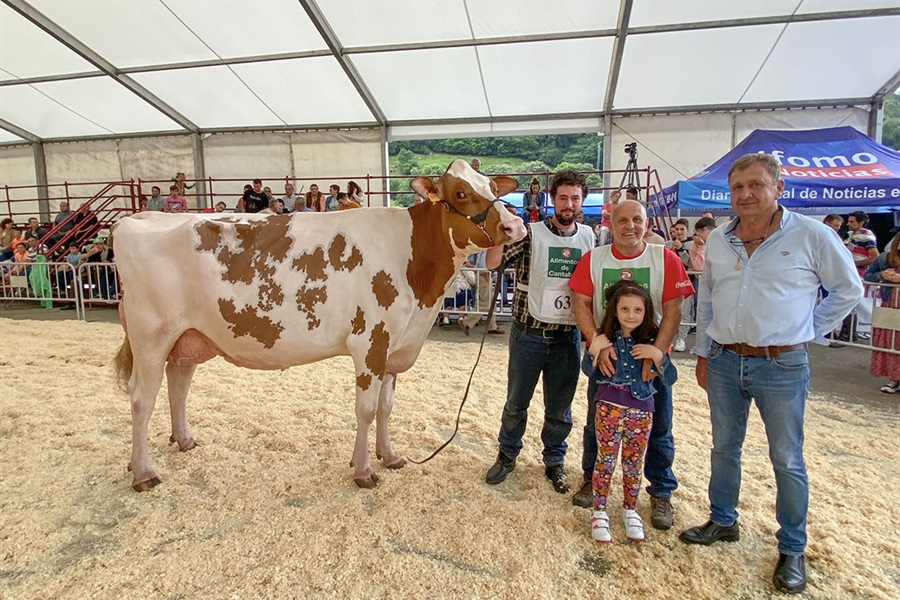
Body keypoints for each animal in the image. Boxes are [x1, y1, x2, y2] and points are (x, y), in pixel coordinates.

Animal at [116, 161, 532, 492]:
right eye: (461, 192)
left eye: (492, 187)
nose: (516, 226)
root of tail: (136, 219)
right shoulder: (370, 342)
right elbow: (366, 409)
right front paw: (363, 470)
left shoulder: (394, 347)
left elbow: (386, 408)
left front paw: (390, 456)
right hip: (150, 335)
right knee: (140, 398)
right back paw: (143, 472)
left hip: (187, 337)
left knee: (178, 386)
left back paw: (184, 440)